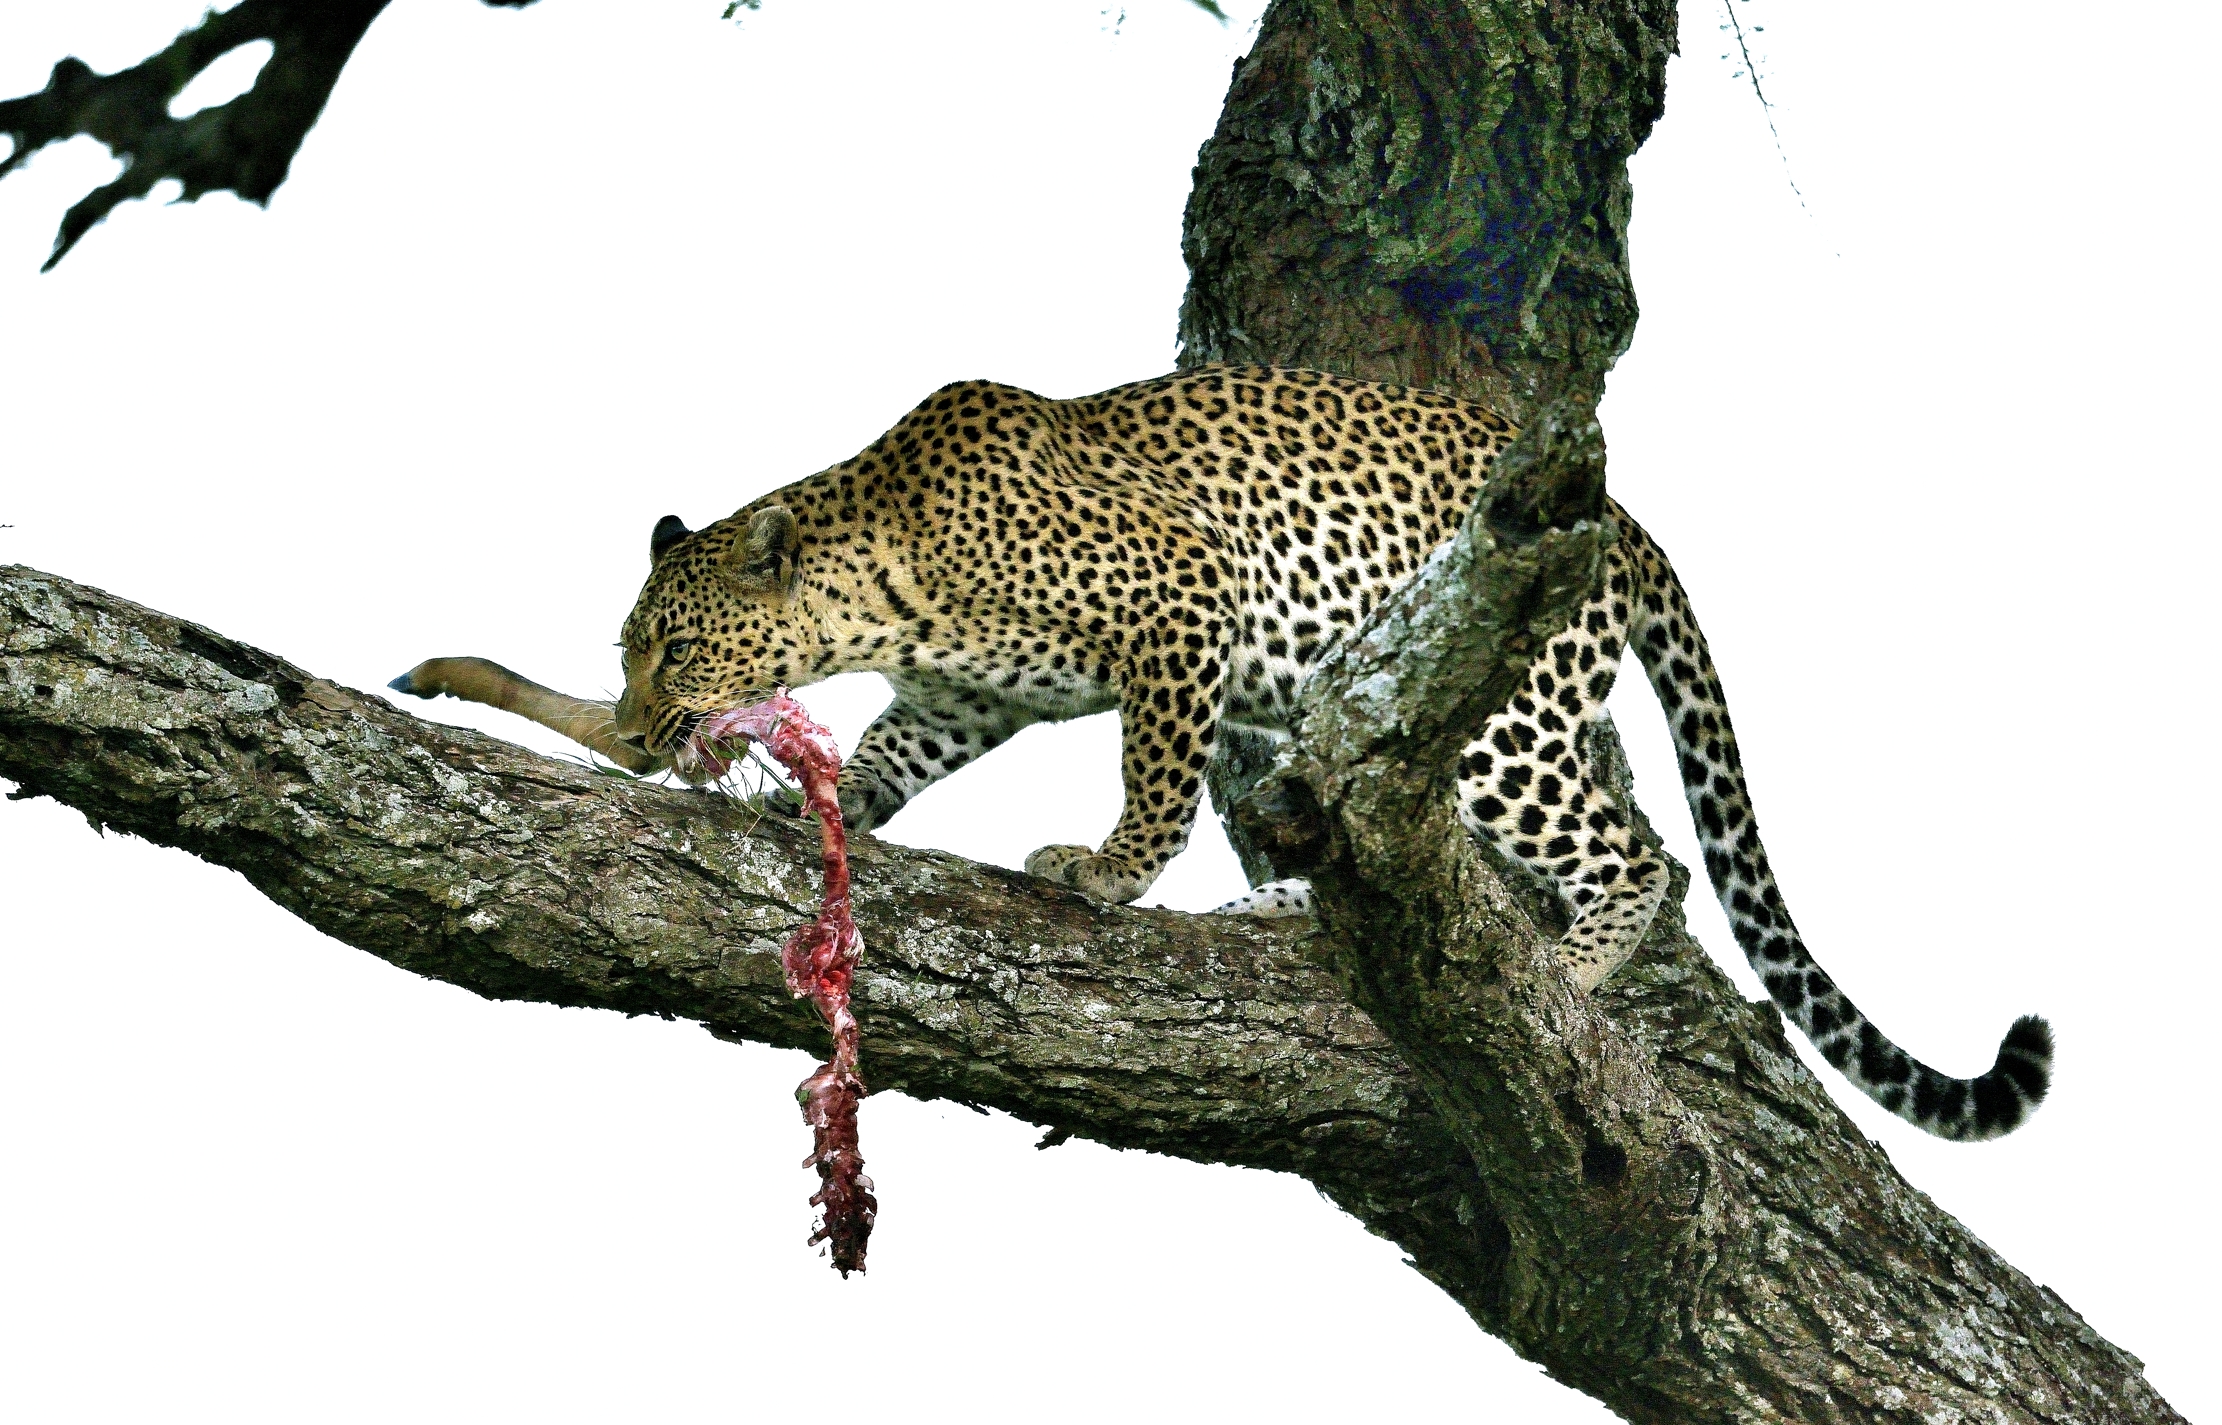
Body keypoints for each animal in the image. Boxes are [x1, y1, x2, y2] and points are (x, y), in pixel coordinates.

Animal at [391, 365, 2052, 1141]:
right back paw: (1286, 919)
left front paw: (1103, 874)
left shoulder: (1184, 609)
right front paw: (840, 816)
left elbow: (1154, 776)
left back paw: (1570, 980)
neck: (886, 571)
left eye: (669, 649)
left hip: (1484, 711)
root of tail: (1629, 525)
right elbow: (890, 756)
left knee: (1632, 855)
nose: (642, 727)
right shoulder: (965, 698)